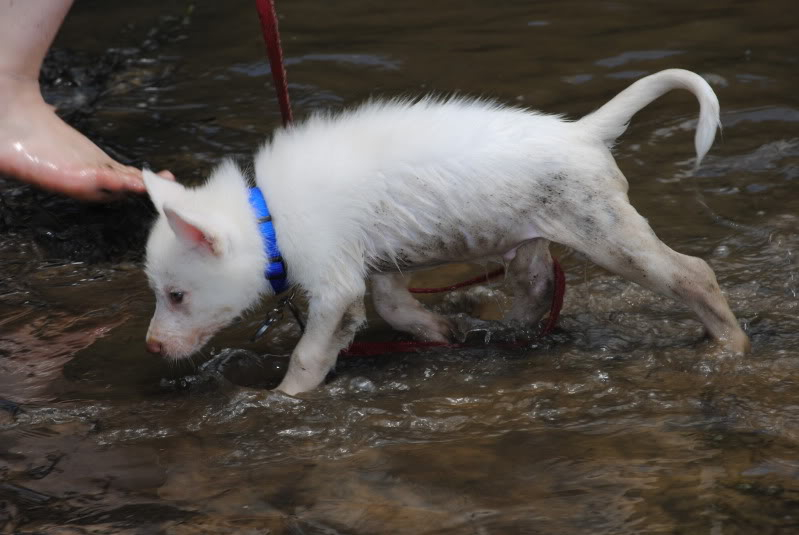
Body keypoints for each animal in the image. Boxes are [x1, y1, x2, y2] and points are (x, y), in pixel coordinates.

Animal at [142, 69, 752, 396]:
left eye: (177, 295)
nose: (151, 347)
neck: (267, 217)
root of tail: (582, 132)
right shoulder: (378, 263)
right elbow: (392, 307)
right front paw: (439, 331)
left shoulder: (336, 281)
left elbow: (310, 353)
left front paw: (284, 399)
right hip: (527, 240)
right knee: (537, 288)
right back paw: (508, 334)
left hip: (606, 232)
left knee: (694, 274)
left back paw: (732, 346)